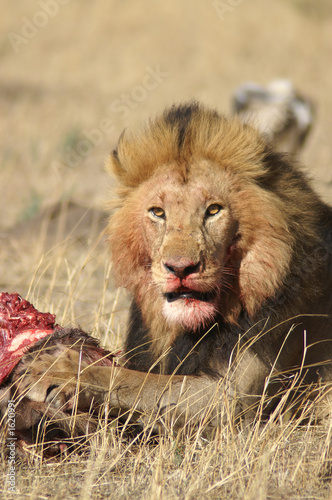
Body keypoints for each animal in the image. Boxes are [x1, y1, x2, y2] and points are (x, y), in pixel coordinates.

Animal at [5, 102, 332, 438]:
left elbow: (137, 381)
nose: (181, 268)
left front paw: (60, 371)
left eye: (214, 210)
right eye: (158, 213)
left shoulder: (234, 402)